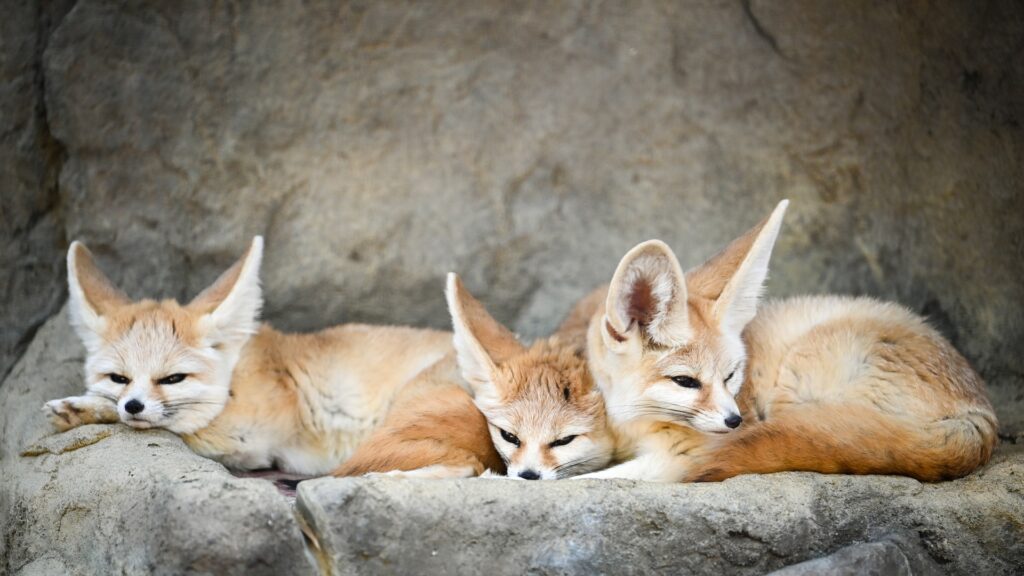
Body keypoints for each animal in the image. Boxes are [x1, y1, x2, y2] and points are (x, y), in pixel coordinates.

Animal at [41, 235, 452, 473]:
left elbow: (181, 421)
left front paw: (86, 407)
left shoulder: (248, 438)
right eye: (119, 378)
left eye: (172, 378)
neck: (238, 374)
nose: (134, 405)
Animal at [581, 199, 995, 481]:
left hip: (797, 370)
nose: (736, 421)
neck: (635, 417)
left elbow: (592, 481)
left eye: (731, 375)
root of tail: (981, 413)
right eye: (685, 381)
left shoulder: (679, 457)